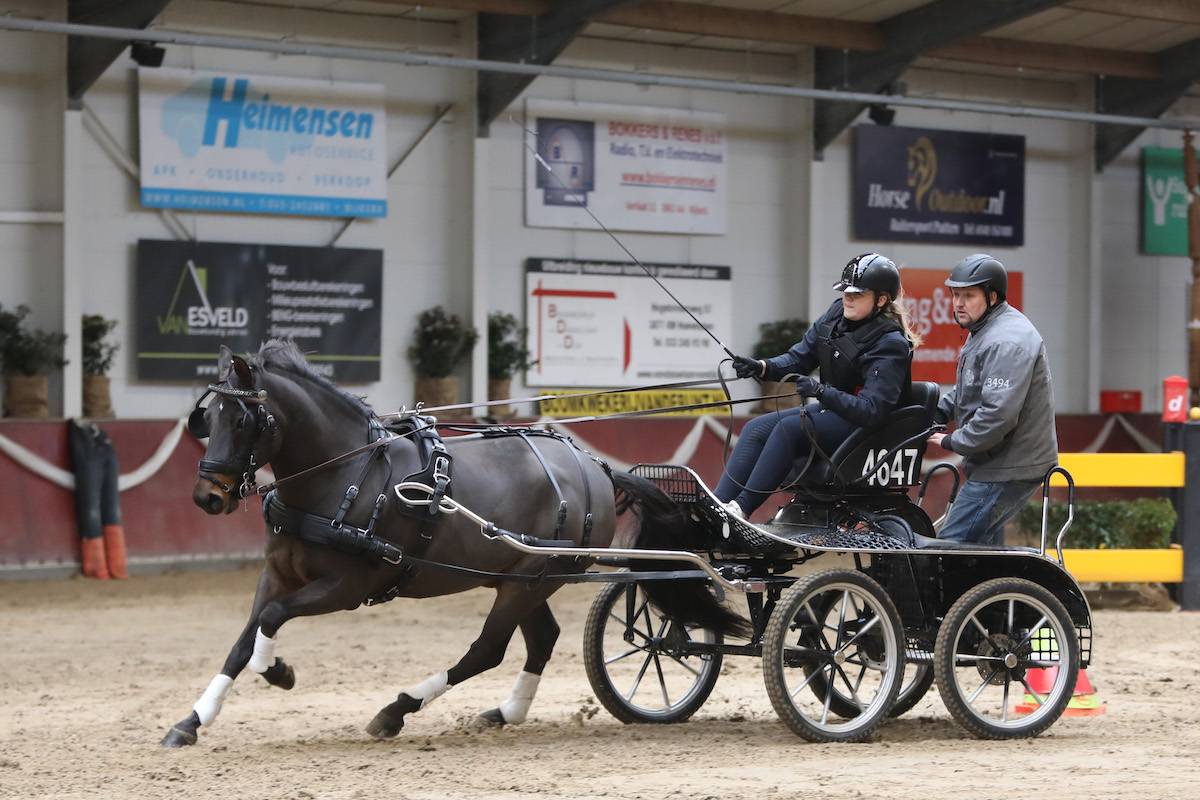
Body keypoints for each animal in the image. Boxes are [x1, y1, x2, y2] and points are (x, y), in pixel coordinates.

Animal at [159, 340, 739, 748]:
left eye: (243, 419)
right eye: (206, 419)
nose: (206, 496)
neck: (345, 474)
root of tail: (591, 464)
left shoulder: (349, 585)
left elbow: (274, 619)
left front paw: (279, 672)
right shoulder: (278, 573)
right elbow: (245, 638)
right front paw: (192, 721)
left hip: (528, 581)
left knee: (488, 649)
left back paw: (397, 710)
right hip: (524, 577)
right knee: (540, 639)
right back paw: (506, 711)